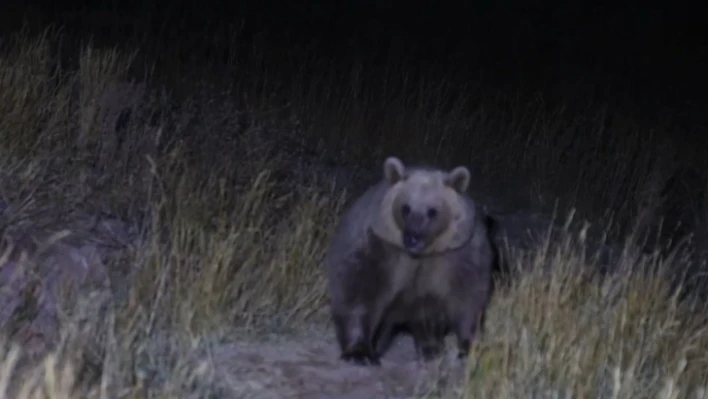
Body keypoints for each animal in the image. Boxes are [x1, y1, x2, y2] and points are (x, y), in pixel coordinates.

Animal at [324, 155, 496, 366]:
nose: (412, 238)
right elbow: (358, 293)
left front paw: (468, 345)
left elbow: (467, 299)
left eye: (432, 211)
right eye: (405, 208)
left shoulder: (459, 255)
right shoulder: (377, 247)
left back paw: (431, 348)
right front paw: (359, 352)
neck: (421, 255)